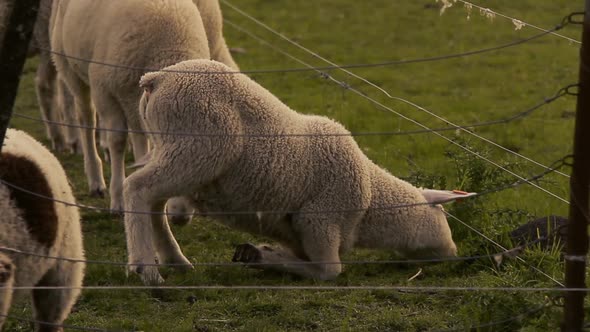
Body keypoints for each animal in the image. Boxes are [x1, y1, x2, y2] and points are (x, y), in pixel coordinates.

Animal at [49, 0, 238, 211]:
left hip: (132, 99)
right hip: (69, 66)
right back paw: (96, 180)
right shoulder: (105, 90)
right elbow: (117, 141)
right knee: (86, 119)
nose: (182, 214)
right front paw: (118, 200)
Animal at [122, 59, 474, 282]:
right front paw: (263, 258)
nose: (455, 254)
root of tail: (157, 79)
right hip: (198, 146)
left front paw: (259, 255)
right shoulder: (319, 220)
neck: (372, 199)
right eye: (444, 216)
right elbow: (329, 271)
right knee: (137, 188)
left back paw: (175, 260)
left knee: (154, 201)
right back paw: (146, 269)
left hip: (172, 148)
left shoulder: (295, 232)